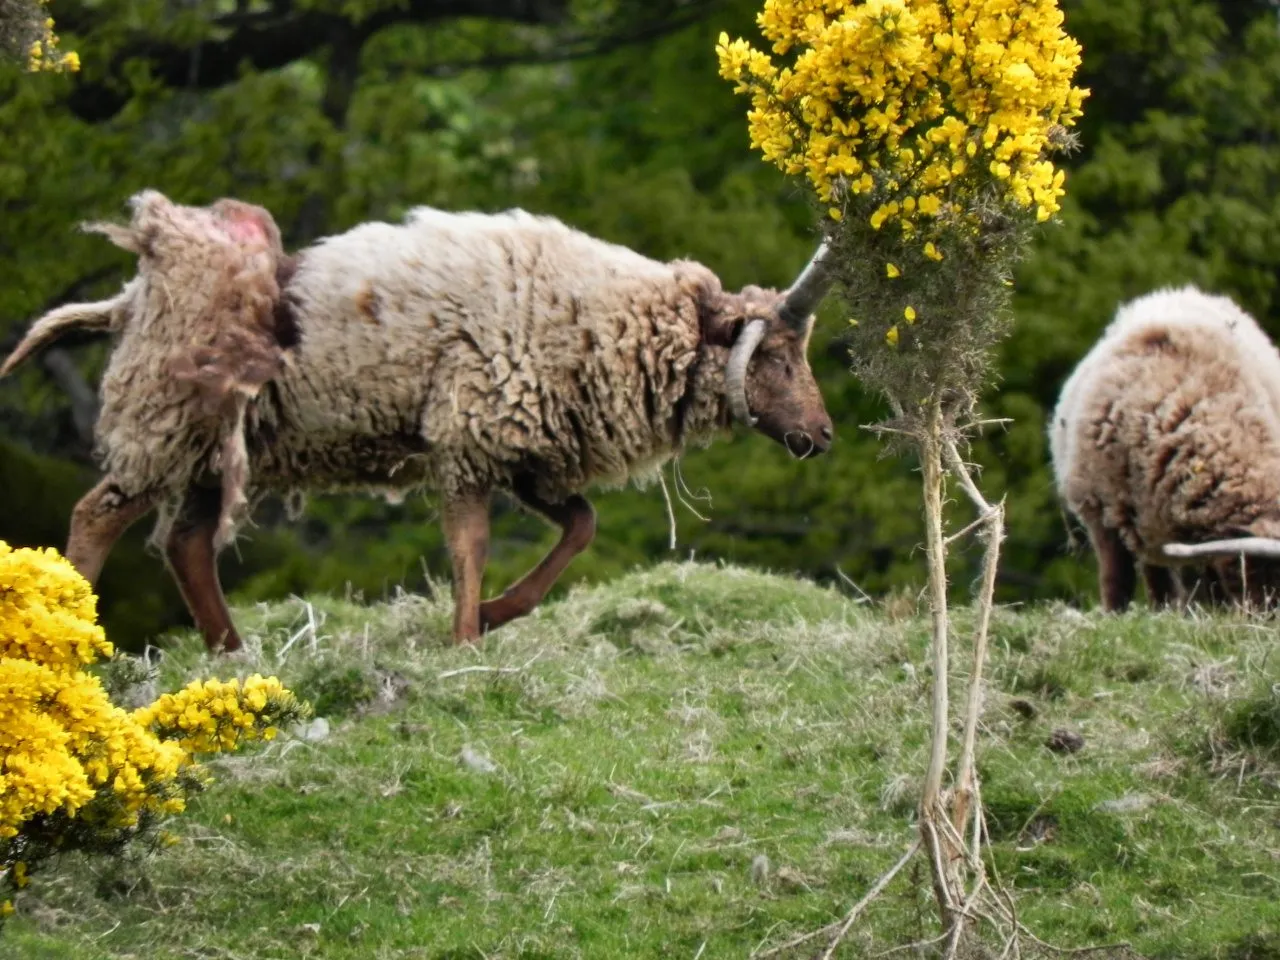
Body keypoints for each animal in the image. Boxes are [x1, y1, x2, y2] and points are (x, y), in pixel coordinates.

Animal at [2, 190, 838, 650]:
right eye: (776, 355)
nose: (825, 436)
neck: (602, 314)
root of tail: (130, 300)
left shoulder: (524, 449)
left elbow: (581, 526)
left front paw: (499, 615)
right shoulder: (471, 432)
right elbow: (472, 545)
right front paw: (466, 637)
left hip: (212, 450)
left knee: (186, 545)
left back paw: (232, 655)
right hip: (165, 422)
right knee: (96, 515)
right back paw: (68, 639)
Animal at [1050, 284, 1280, 610]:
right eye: (1263, 569)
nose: (1267, 616)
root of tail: (1181, 292)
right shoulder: (1101, 515)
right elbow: (1117, 579)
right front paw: (1116, 614)